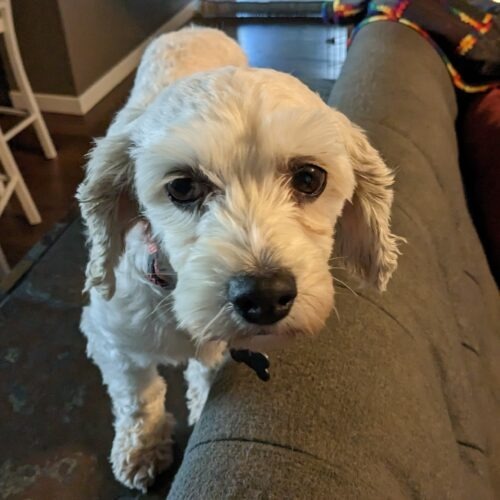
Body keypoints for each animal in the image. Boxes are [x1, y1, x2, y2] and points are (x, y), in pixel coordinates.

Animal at [77, 25, 402, 490]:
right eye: (182, 187)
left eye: (310, 177)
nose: (264, 296)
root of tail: (194, 27)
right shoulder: (113, 340)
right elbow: (138, 397)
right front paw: (142, 447)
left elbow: (206, 367)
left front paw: (199, 401)